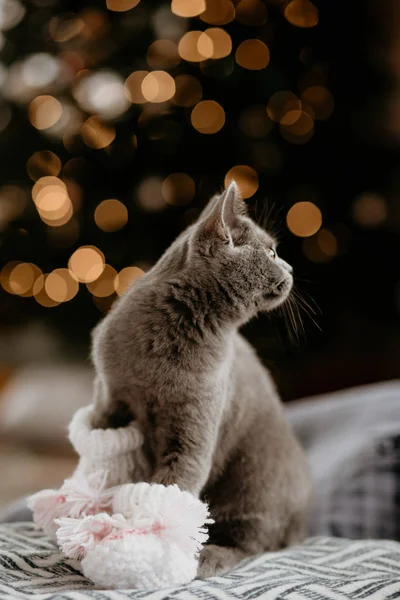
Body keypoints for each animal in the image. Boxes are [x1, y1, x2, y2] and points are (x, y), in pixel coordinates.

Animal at [90, 182, 312, 576]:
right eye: (270, 251)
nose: (290, 267)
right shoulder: (109, 393)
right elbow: (103, 439)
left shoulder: (196, 417)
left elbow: (175, 482)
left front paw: (145, 546)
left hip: (256, 481)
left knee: (253, 542)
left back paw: (208, 556)